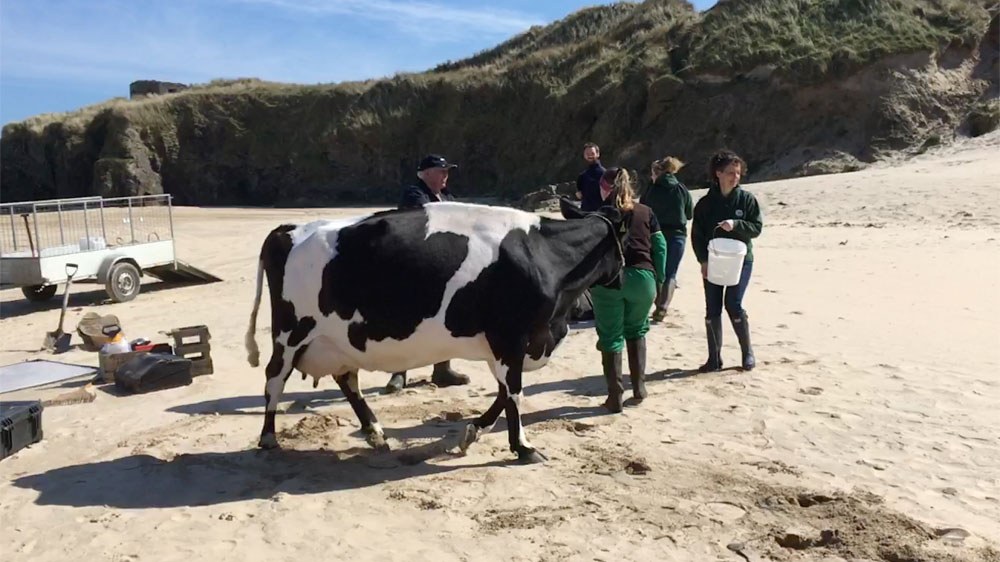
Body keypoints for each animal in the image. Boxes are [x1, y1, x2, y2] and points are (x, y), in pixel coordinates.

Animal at [248, 199, 624, 462]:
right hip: (291, 332)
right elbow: (514, 392)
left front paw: (473, 431)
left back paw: (374, 431)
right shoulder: (511, 337)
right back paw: (268, 437)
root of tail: (288, 229)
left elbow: (504, 392)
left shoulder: (508, 345)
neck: (545, 256)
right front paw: (523, 447)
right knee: (274, 376)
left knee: (346, 379)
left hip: (338, 339)